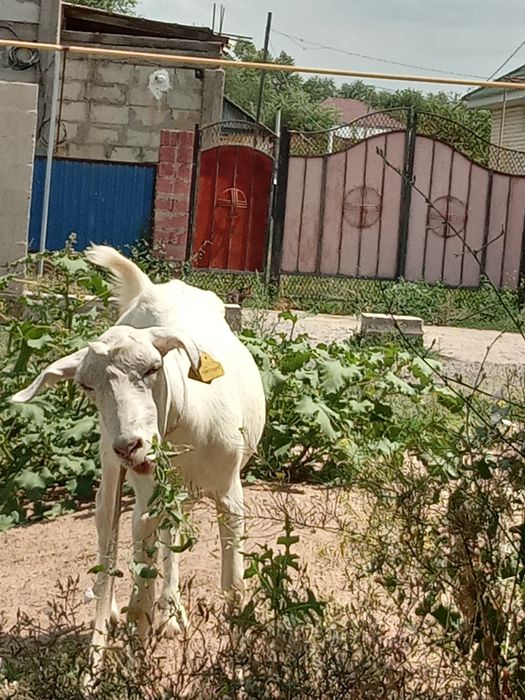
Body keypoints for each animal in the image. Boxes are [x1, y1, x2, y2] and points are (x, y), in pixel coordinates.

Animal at [11, 246, 266, 668]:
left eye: (152, 368)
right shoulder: (146, 495)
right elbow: (141, 582)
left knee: (172, 534)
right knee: (111, 528)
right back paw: (116, 609)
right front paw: (137, 655)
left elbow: (233, 581)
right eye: (86, 385)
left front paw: (239, 654)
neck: (186, 415)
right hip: (113, 472)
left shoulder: (230, 489)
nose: (130, 445)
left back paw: (172, 613)